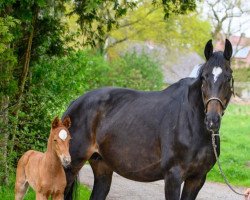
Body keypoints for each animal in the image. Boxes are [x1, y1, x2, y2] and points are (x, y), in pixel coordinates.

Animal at [63, 39, 233, 200]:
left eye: (228, 77)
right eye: (204, 77)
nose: (212, 120)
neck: (192, 124)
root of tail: (75, 103)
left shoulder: (197, 179)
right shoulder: (173, 177)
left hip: (102, 166)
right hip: (70, 166)